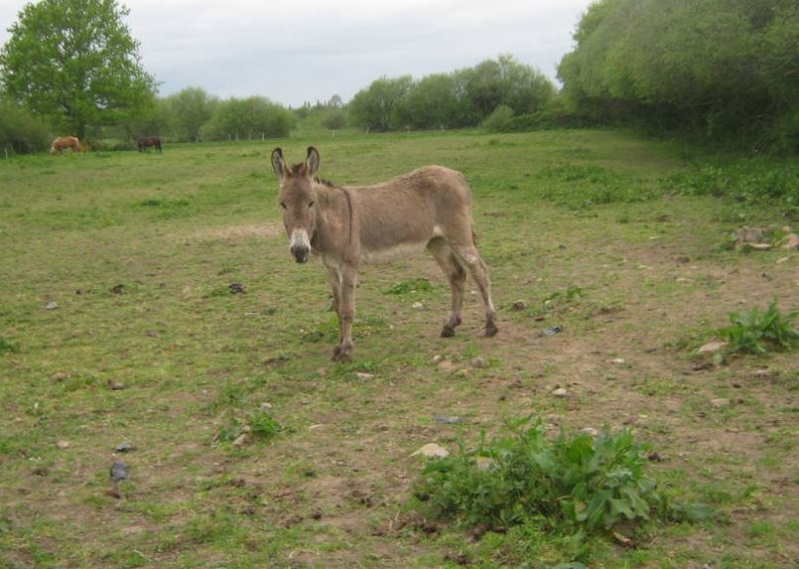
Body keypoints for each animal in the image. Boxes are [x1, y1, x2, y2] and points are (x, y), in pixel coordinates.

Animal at [272, 145, 496, 360]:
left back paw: (491, 325)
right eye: (282, 204)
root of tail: (456, 174)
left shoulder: (348, 266)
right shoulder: (329, 269)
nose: (300, 251)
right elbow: (337, 307)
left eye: (311, 203)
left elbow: (347, 310)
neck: (334, 217)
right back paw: (450, 326)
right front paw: (338, 346)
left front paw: (346, 351)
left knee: (480, 271)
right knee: (456, 274)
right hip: (437, 241)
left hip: (459, 234)